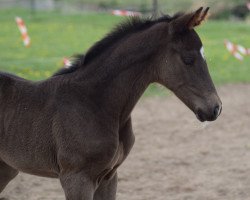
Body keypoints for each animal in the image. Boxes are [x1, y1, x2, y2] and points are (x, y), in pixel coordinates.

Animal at [0, 7, 222, 200]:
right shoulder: (76, 179)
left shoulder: (109, 177)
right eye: (188, 59)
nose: (216, 108)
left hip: (7, 168)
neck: (94, 103)